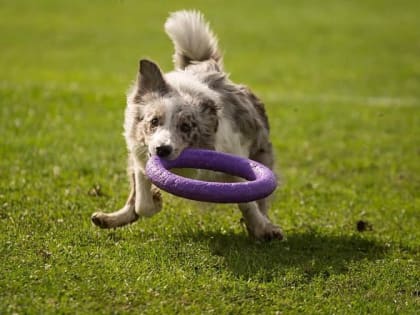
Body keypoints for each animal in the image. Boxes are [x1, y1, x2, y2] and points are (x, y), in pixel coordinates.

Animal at [90, 10, 284, 242]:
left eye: (185, 127)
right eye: (154, 121)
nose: (162, 149)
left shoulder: (238, 161)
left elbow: (248, 201)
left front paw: (263, 227)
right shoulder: (140, 156)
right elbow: (141, 202)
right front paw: (155, 200)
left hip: (261, 152)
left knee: (262, 200)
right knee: (132, 200)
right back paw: (108, 219)